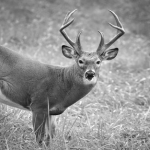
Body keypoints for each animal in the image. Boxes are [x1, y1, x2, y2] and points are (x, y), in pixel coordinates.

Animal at [0, 9, 124, 146]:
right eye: (80, 61)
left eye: (98, 62)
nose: (90, 73)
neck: (60, 83)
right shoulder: (38, 104)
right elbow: (40, 139)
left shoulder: (51, 112)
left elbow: (49, 138)